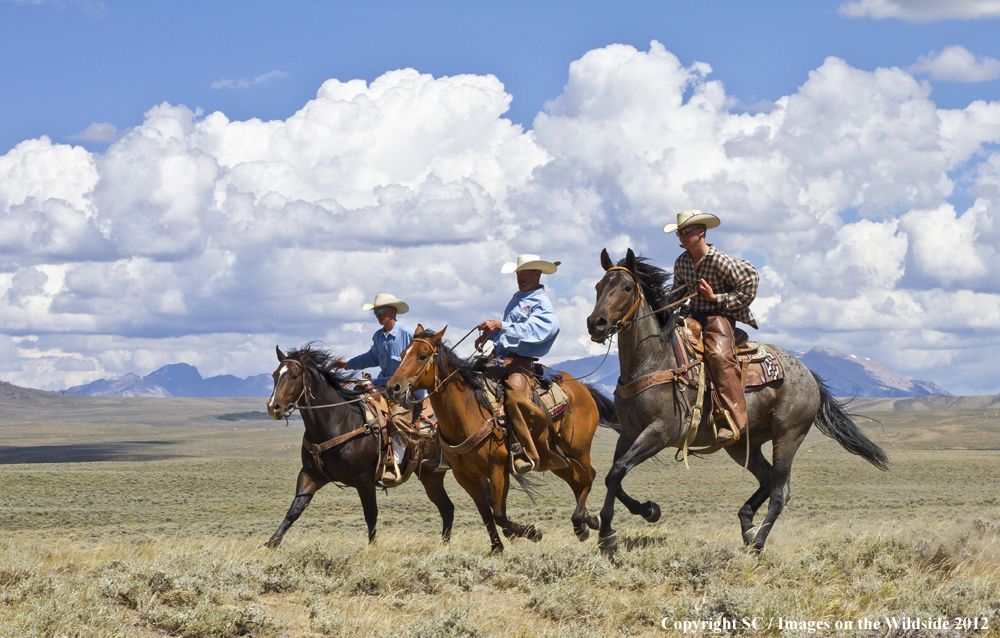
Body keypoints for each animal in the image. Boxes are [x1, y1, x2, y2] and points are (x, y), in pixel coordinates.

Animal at [266, 344, 454, 552]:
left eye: (294, 375)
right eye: (275, 375)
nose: (273, 407)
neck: (337, 422)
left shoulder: (364, 479)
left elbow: (371, 514)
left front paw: (372, 549)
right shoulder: (310, 474)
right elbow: (295, 509)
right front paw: (272, 544)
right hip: (431, 476)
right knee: (447, 508)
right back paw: (444, 546)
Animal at [386, 330, 612, 556]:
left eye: (422, 356)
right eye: (403, 354)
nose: (393, 387)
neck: (467, 415)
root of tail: (582, 387)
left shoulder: (498, 470)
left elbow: (499, 514)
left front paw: (532, 532)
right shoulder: (465, 476)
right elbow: (486, 513)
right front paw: (497, 547)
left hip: (577, 448)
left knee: (588, 476)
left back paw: (583, 521)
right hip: (552, 457)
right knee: (575, 480)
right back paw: (586, 523)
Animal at [584, 250, 892, 556]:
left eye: (626, 287)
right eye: (598, 286)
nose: (596, 323)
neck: (653, 359)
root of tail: (808, 375)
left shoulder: (661, 432)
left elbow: (617, 471)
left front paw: (608, 533)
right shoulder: (629, 432)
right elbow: (613, 474)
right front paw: (645, 511)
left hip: (788, 435)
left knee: (780, 491)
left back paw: (758, 541)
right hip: (743, 442)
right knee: (766, 479)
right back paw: (747, 525)